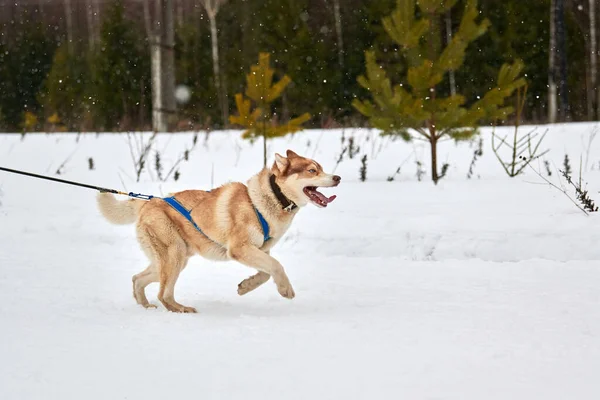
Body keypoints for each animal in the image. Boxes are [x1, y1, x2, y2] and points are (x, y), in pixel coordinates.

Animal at [99, 150, 342, 312]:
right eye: (312, 170)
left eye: (321, 168)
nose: (337, 177)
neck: (268, 199)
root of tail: (148, 203)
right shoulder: (240, 249)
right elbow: (277, 266)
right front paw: (285, 289)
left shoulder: (260, 250)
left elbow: (266, 272)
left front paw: (246, 286)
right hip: (174, 255)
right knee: (163, 294)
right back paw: (181, 309)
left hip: (172, 259)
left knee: (137, 279)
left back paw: (146, 306)